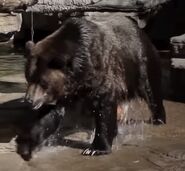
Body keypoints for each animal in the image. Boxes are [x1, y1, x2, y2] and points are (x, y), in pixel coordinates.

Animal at [18, 12, 166, 160]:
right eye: (29, 78)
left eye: (43, 82)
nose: (29, 100)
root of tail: (141, 32)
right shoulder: (65, 91)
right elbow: (50, 114)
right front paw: (28, 145)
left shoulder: (100, 68)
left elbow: (104, 105)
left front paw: (95, 149)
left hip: (139, 61)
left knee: (151, 90)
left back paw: (158, 119)